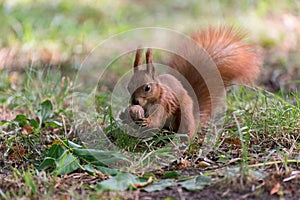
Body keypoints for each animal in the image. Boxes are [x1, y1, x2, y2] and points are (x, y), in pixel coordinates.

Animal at [123, 26, 262, 139]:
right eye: (128, 87)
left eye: (147, 88)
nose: (134, 101)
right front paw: (127, 114)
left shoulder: (163, 103)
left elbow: (156, 120)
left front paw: (146, 121)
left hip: (184, 115)